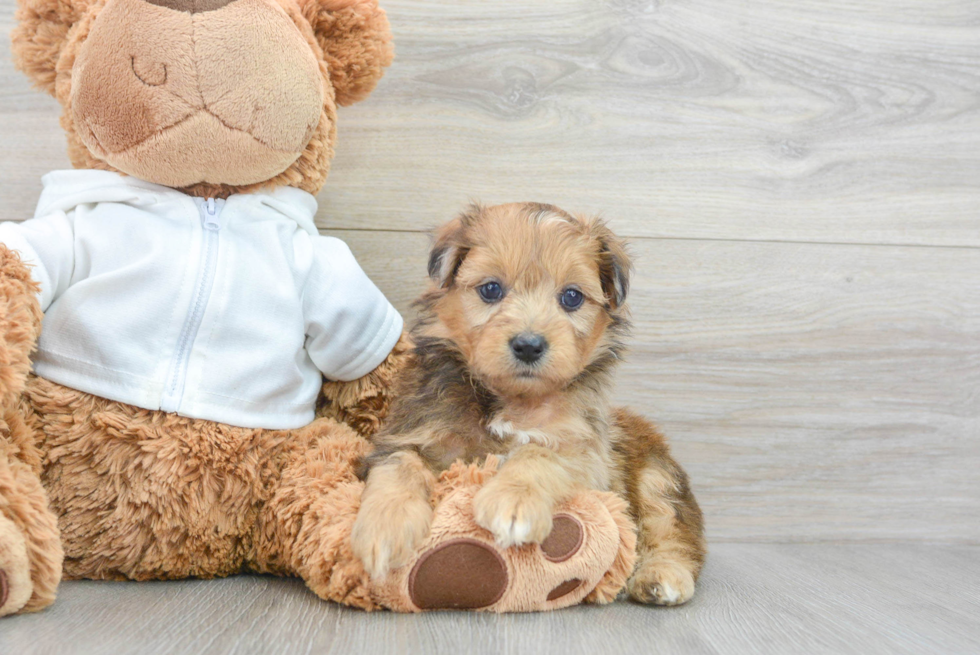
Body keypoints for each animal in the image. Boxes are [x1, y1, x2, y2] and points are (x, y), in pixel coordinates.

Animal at [352, 202, 704, 608]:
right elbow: (399, 467)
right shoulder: (410, 433)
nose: (529, 345)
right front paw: (386, 526)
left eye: (572, 297)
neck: (512, 399)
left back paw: (661, 576)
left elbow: (539, 452)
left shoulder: (588, 456)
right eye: (491, 289)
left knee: (672, 532)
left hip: (656, 478)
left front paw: (512, 499)